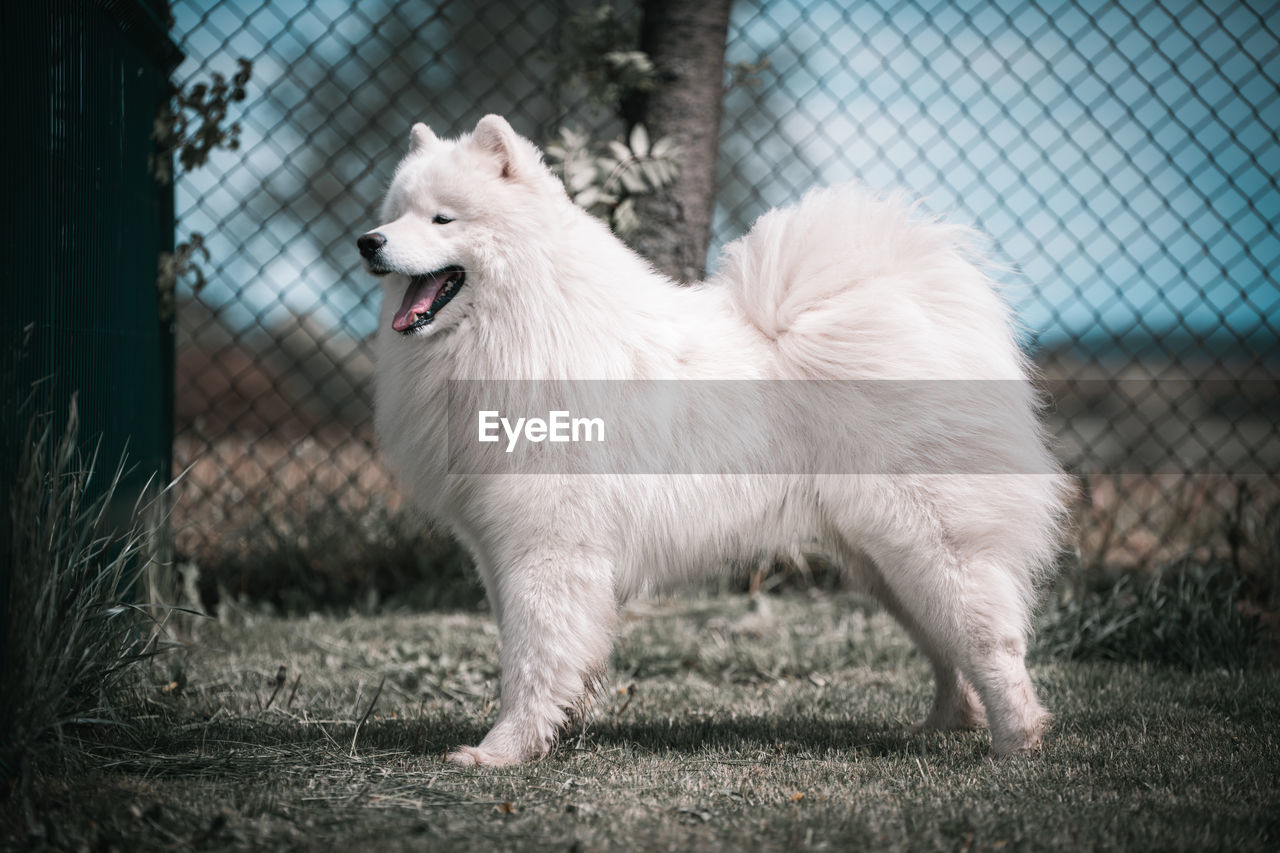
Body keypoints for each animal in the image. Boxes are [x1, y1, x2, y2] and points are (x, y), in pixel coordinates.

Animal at [360, 114, 1070, 763]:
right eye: (395, 214)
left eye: (443, 219)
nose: (368, 242)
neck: (530, 325)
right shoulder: (498, 547)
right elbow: (530, 650)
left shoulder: (549, 546)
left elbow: (532, 659)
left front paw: (501, 752)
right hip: (882, 560)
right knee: (948, 646)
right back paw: (946, 725)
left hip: (930, 540)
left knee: (991, 641)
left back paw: (1017, 742)